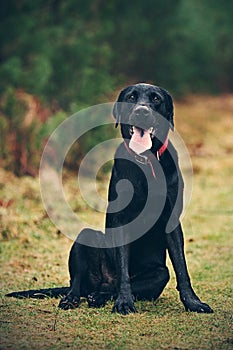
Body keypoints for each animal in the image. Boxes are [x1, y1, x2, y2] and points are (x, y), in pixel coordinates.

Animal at [6, 84, 213, 314]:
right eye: (131, 97)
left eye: (156, 99)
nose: (141, 112)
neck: (146, 160)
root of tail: (101, 282)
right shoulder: (121, 219)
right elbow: (123, 269)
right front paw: (124, 302)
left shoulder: (171, 219)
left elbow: (181, 267)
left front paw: (193, 302)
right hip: (85, 237)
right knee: (78, 282)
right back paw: (73, 298)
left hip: (159, 273)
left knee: (112, 288)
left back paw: (98, 297)